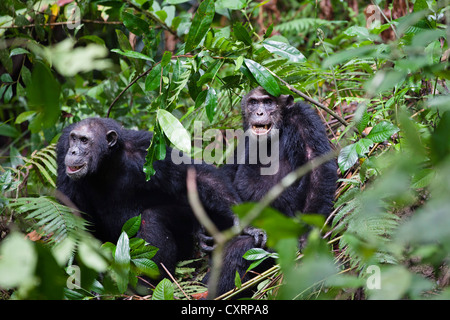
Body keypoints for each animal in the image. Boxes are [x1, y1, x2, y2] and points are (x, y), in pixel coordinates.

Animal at [58, 117, 246, 280]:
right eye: (73, 139)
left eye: (84, 140)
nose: (73, 151)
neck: (107, 162)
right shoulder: (62, 148)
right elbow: (71, 214)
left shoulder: (149, 149)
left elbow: (195, 176)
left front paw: (240, 219)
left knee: (151, 218)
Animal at [214, 87, 338, 298]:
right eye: (253, 103)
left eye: (268, 102)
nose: (259, 112)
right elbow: (228, 173)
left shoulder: (305, 118)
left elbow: (316, 165)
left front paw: (307, 237)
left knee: (238, 250)